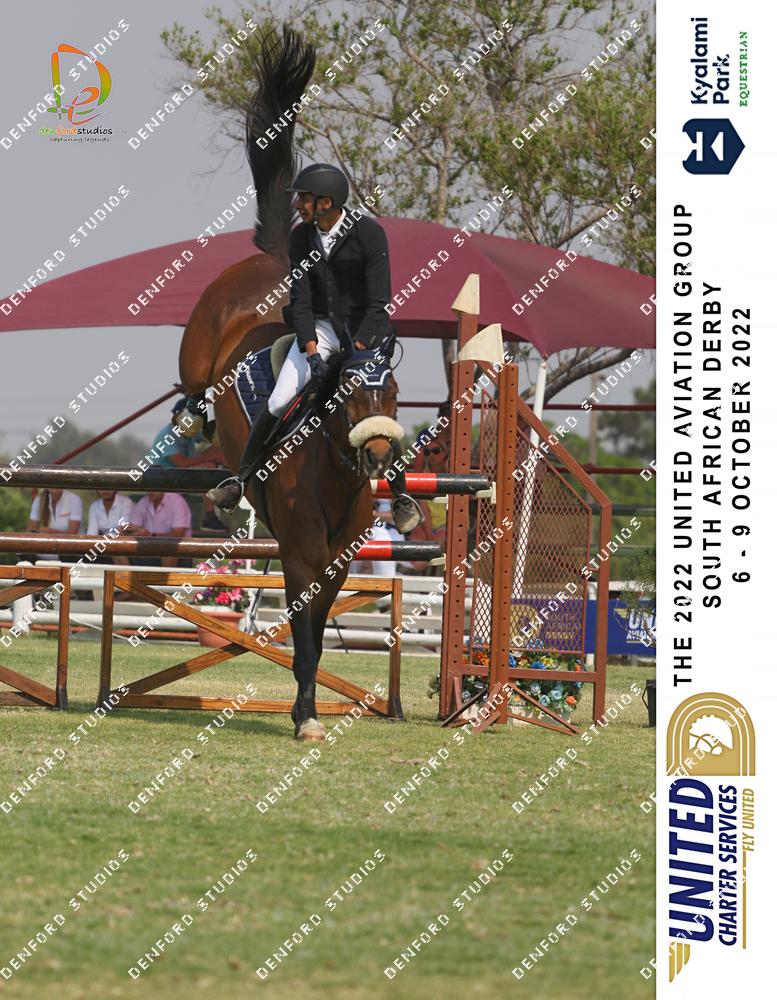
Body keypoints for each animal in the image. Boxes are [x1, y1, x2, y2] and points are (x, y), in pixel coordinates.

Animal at [178, 27, 404, 740]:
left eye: (391, 394)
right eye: (350, 394)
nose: (378, 455)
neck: (332, 470)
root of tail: (277, 260)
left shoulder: (335, 561)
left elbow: (318, 634)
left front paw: (308, 711)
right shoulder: (300, 555)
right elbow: (303, 639)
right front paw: (305, 717)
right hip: (197, 352)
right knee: (192, 388)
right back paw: (195, 425)